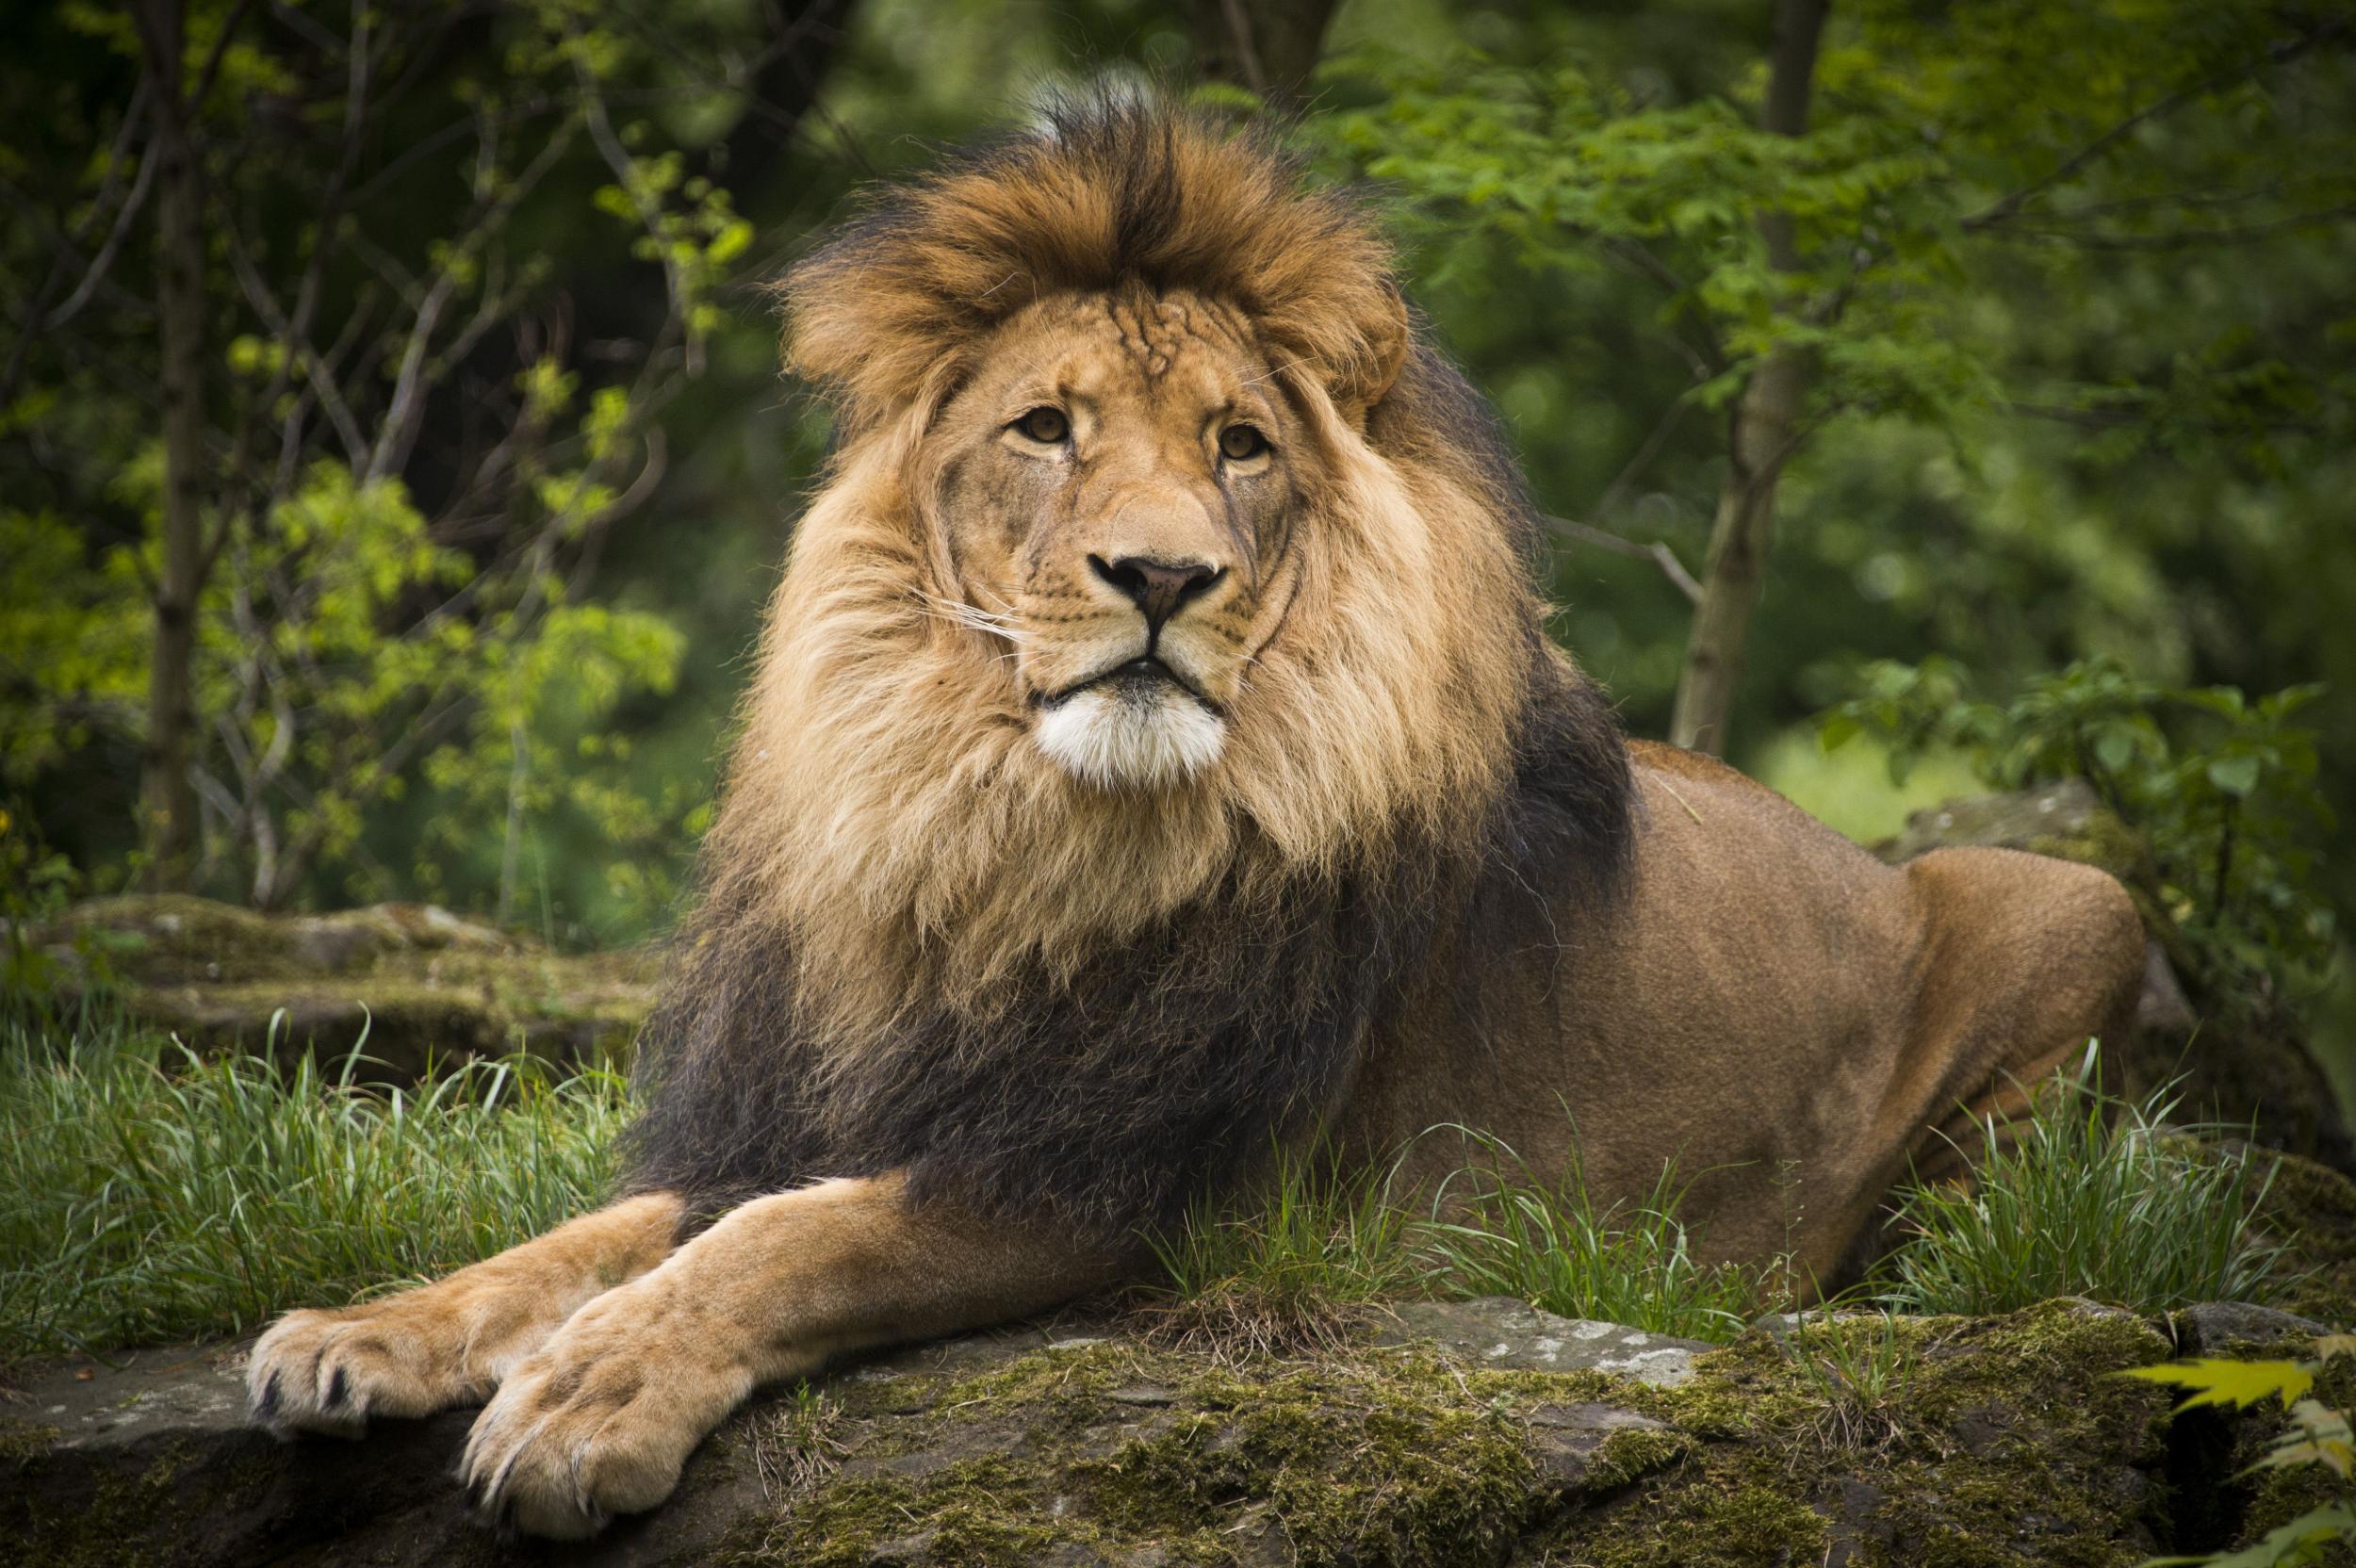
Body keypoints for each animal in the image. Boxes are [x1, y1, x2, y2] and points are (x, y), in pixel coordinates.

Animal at [243, 100, 2158, 1535]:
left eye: (1241, 444)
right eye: (1044, 426)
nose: (1162, 575)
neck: (1006, 838)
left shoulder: (1133, 1183)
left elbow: (793, 1237)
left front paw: (587, 1399)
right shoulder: (820, 1103)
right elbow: (596, 1234)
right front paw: (365, 1329)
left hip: (2075, 900)